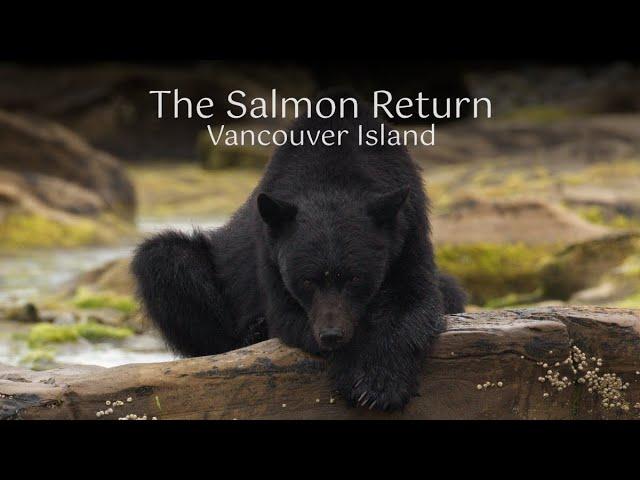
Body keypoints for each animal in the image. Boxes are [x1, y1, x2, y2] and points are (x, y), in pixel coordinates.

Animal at [134, 94, 464, 412]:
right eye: (307, 281)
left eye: (356, 278)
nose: (332, 333)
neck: (334, 176)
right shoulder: (270, 253)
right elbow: (289, 314)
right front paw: (354, 377)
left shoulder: (408, 229)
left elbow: (413, 300)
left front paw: (382, 386)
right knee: (166, 261)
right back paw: (252, 333)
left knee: (450, 288)